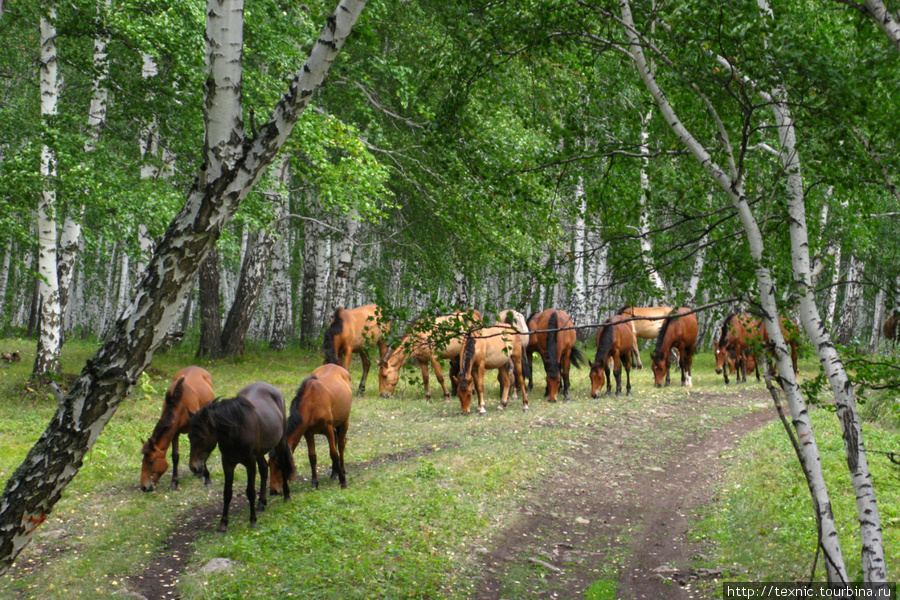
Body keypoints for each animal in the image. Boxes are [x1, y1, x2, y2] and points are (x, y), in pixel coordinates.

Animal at [189, 382, 294, 532]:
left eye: (202, 437)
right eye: (189, 436)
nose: (193, 467)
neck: (236, 431)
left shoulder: (249, 462)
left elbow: (250, 491)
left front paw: (253, 520)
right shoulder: (227, 463)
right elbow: (227, 492)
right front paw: (223, 524)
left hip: (280, 443)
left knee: (283, 466)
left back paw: (286, 496)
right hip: (259, 452)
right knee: (264, 469)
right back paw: (261, 503)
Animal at [268, 360, 354, 492]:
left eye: (279, 465)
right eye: (269, 465)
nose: (273, 491)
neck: (312, 405)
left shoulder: (328, 429)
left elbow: (334, 454)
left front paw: (343, 482)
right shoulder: (308, 433)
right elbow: (312, 457)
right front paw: (314, 483)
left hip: (344, 421)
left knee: (341, 445)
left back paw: (342, 471)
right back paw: (334, 473)